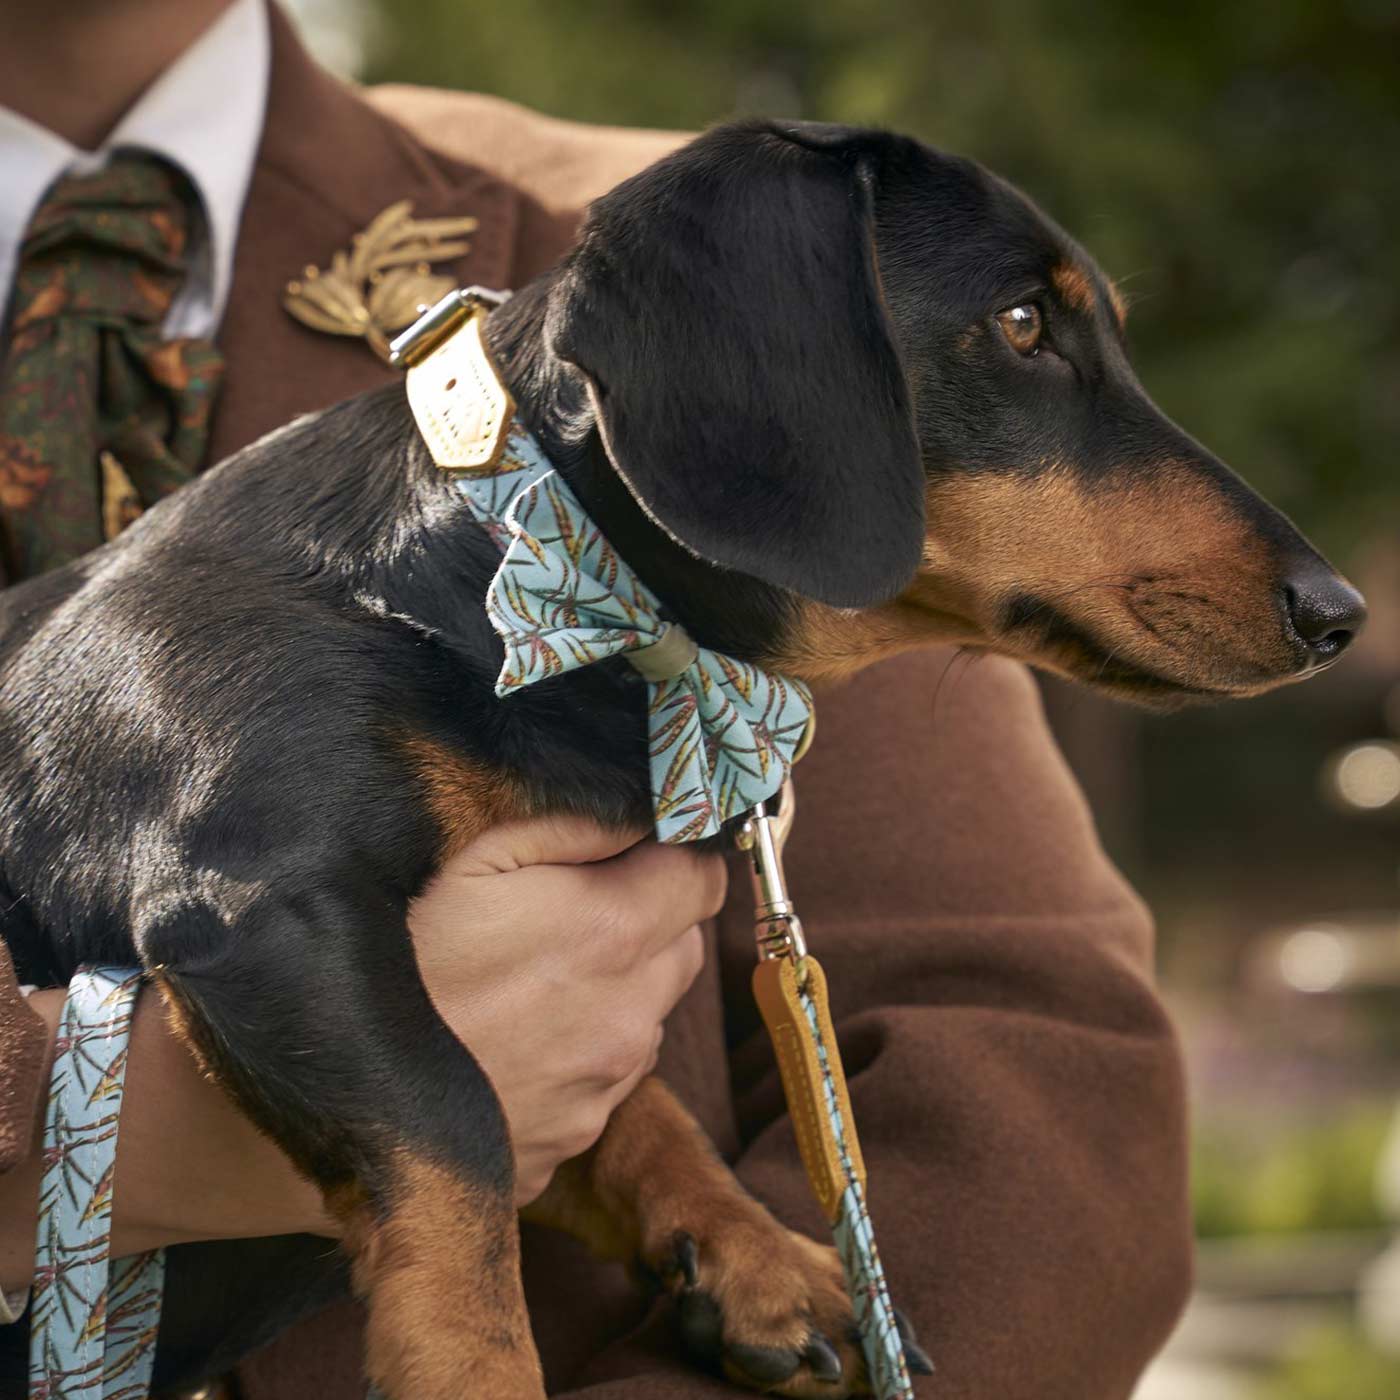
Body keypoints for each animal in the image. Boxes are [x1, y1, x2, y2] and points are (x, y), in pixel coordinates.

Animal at [0, 123, 1360, 1400]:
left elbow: (628, 1105)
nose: (1337, 613)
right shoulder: (259, 898)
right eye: (1022, 323)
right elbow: (462, 1116)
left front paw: (760, 1262)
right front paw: (476, 1360)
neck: (506, 568)